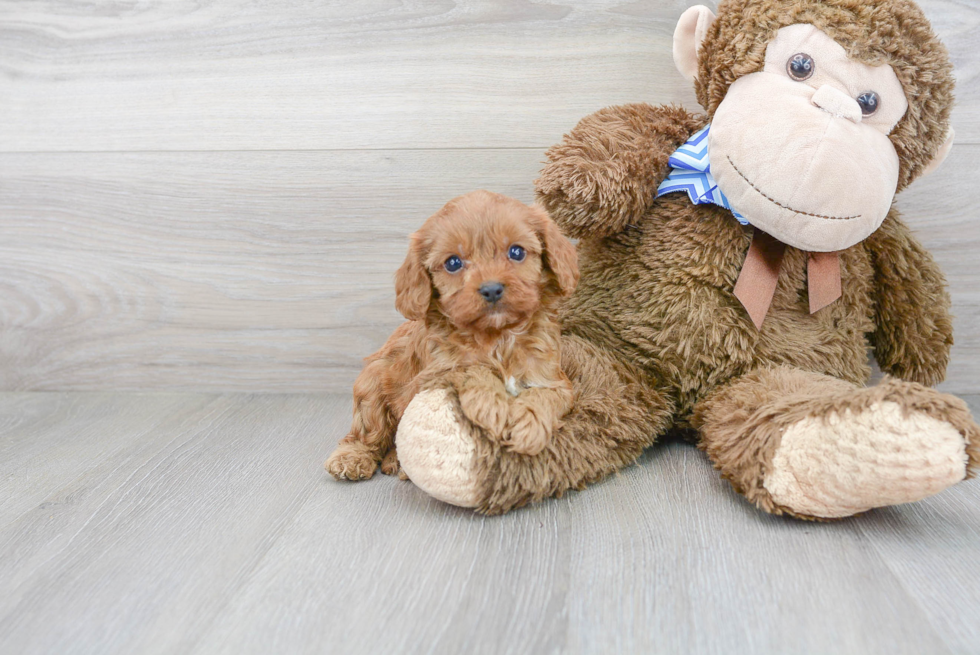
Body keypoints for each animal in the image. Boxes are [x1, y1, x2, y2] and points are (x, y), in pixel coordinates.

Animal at [326, 190, 580, 482]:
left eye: (516, 252)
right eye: (453, 263)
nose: (491, 289)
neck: (498, 337)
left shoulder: (552, 378)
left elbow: (544, 396)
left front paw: (528, 426)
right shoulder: (434, 375)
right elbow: (471, 370)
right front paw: (495, 409)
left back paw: (395, 463)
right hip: (371, 385)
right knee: (367, 434)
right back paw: (353, 458)